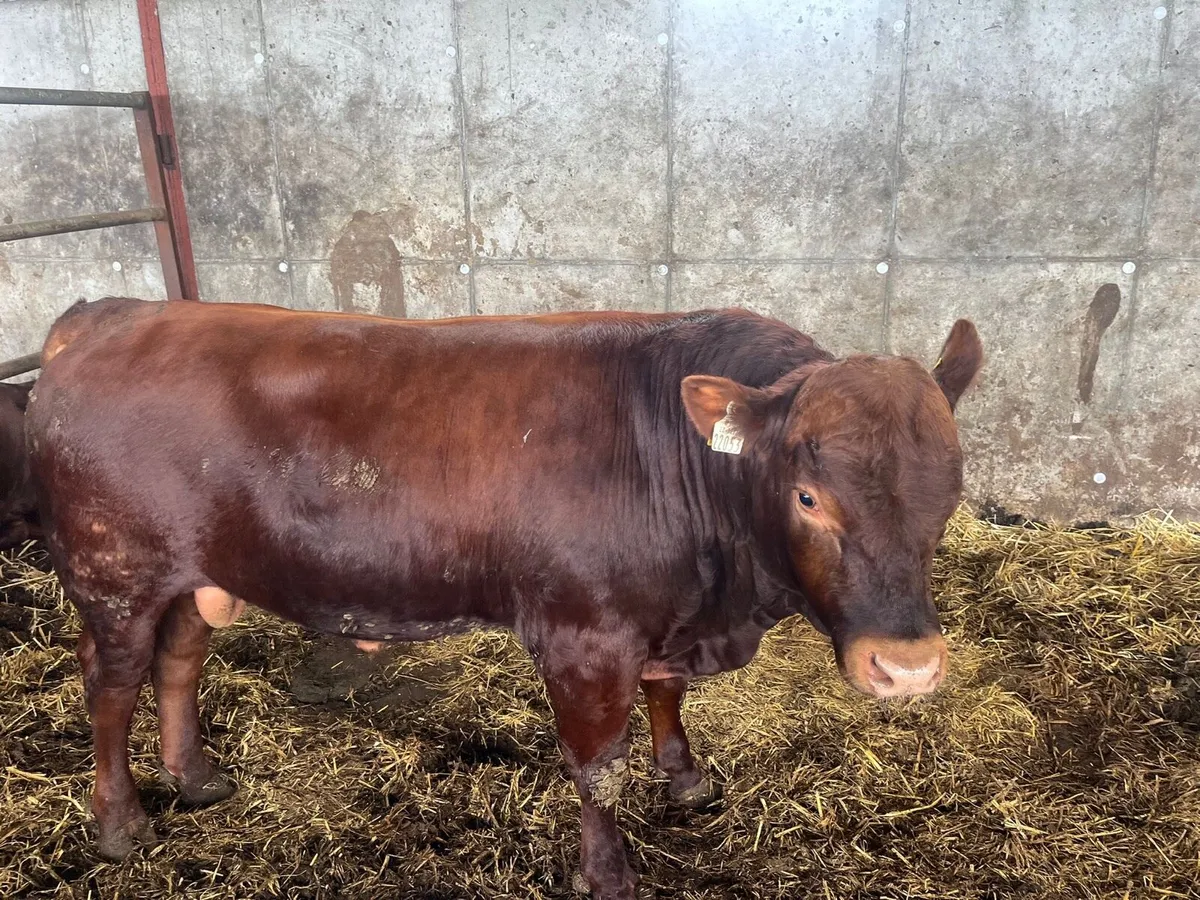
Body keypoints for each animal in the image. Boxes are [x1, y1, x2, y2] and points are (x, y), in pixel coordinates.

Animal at [27, 297, 982, 900]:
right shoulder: (584, 634)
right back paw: (121, 822)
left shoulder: (661, 618)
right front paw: (608, 873)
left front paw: (685, 778)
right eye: (808, 497)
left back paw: (194, 777)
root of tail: (113, 313)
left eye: (952, 484)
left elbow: (668, 696)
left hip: (197, 575)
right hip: (115, 573)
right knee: (110, 686)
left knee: (179, 662)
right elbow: (598, 764)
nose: (906, 667)